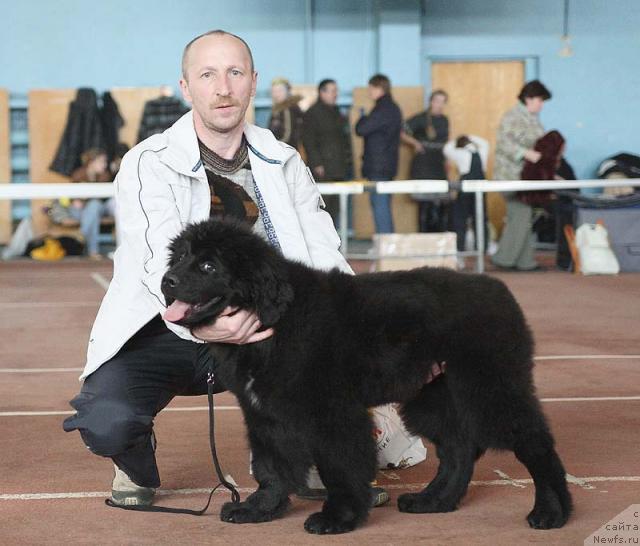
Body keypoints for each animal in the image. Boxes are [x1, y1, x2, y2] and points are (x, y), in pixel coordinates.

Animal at [159, 217, 568, 532]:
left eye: (209, 266)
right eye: (179, 257)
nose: (167, 280)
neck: (276, 319)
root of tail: (500, 291)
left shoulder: (332, 412)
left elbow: (340, 466)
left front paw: (338, 518)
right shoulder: (266, 414)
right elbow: (271, 465)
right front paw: (259, 508)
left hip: (491, 389)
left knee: (534, 442)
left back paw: (551, 511)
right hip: (432, 395)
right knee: (458, 449)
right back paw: (433, 501)